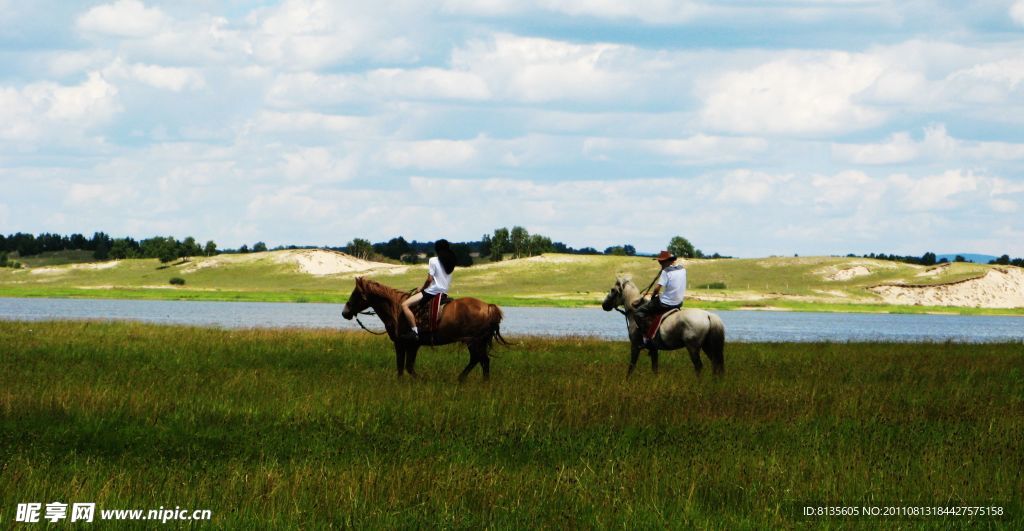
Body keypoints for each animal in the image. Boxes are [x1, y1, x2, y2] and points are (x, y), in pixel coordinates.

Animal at [342, 278, 505, 382]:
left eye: (356, 294)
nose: (345, 312)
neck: (396, 309)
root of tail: (488, 306)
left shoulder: (407, 344)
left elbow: (406, 367)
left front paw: (420, 380)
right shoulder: (408, 345)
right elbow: (404, 367)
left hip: (474, 341)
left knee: (481, 359)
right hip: (476, 342)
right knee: (481, 360)